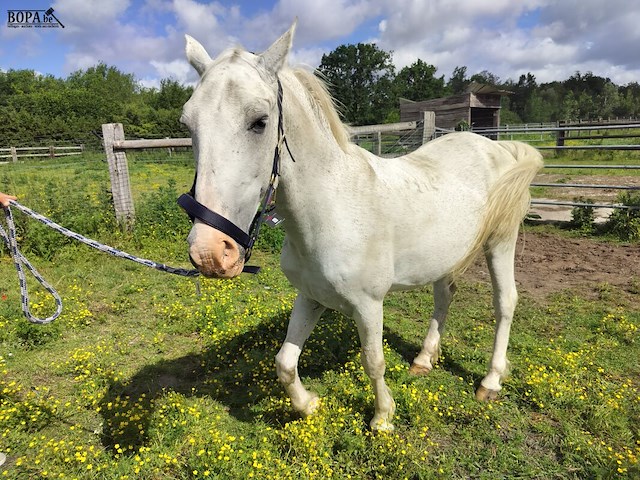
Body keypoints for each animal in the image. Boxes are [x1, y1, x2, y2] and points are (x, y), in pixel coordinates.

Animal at [179, 21, 543, 431]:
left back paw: (490, 382)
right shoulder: (311, 296)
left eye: (260, 121)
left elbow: (373, 361)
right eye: (187, 124)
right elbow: (285, 362)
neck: (331, 208)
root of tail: (498, 148)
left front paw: (382, 418)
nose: (210, 252)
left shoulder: (368, 305)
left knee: (505, 303)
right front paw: (308, 405)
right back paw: (423, 360)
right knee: (444, 295)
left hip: (501, 242)